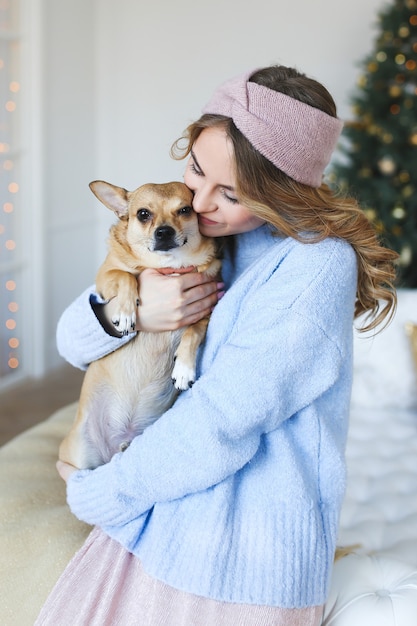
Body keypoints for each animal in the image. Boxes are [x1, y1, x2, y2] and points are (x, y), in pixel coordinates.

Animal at [60, 180, 221, 468]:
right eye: (143, 214)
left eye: (185, 210)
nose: (164, 231)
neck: (171, 266)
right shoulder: (104, 278)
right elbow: (126, 276)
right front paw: (125, 313)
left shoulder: (205, 309)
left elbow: (192, 333)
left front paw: (184, 368)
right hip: (78, 456)